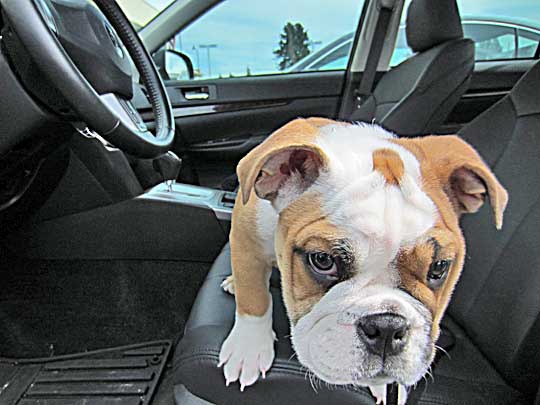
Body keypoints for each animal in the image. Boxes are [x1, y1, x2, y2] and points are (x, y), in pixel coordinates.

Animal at [217, 115, 508, 402]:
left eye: (438, 268)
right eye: (322, 260)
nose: (387, 326)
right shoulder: (246, 239)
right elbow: (254, 299)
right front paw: (248, 349)